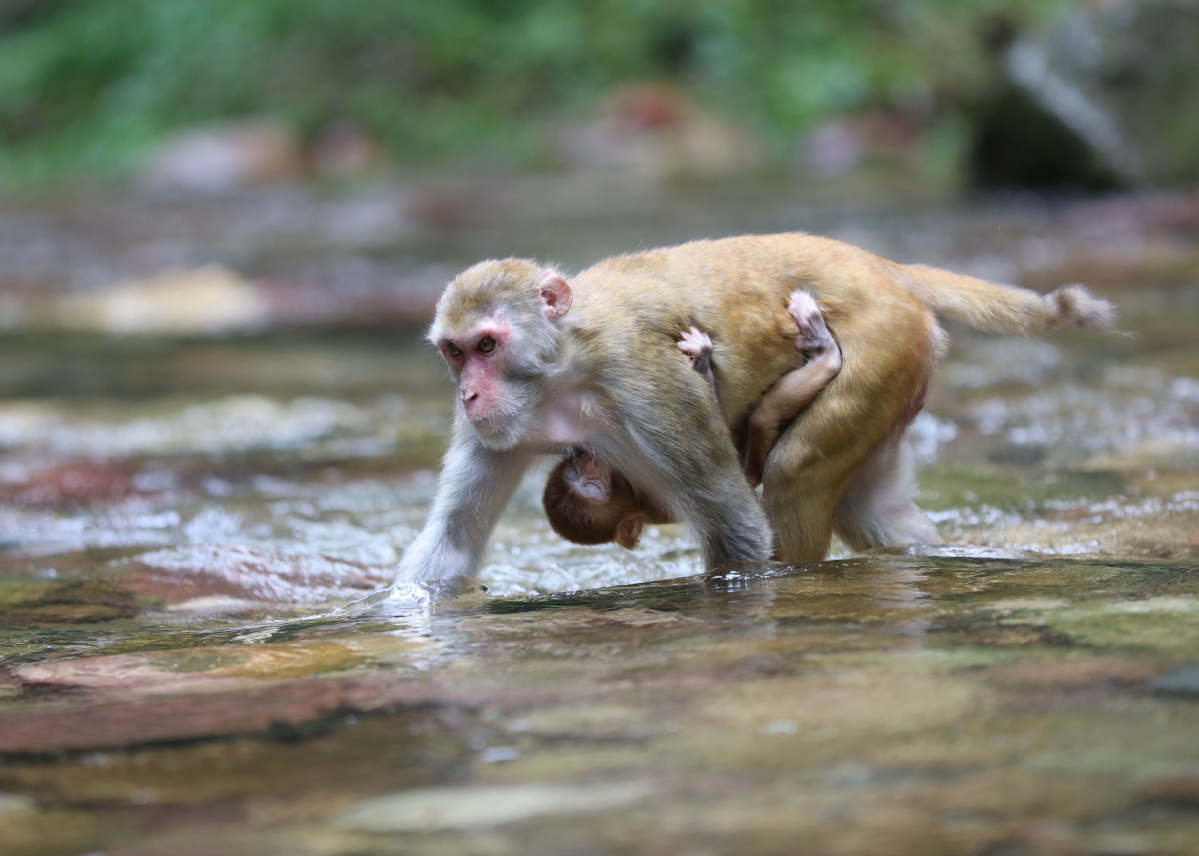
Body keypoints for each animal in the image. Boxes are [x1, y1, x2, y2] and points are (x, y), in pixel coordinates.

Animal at [544, 290, 844, 546]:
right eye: (593, 485)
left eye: (583, 471)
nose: (591, 461)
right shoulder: (651, 487)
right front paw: (701, 359)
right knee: (761, 425)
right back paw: (825, 352)